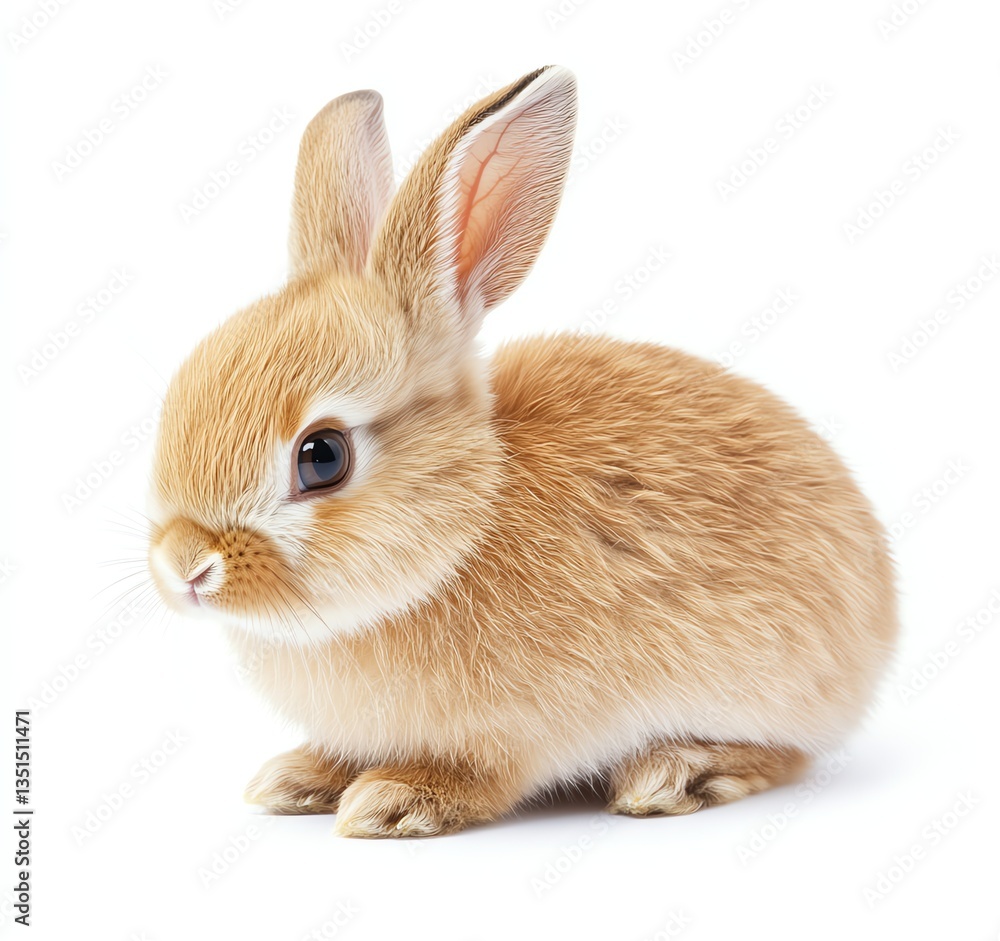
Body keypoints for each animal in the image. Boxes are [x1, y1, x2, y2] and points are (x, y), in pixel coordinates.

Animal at [147, 66, 897, 837]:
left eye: (322, 457)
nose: (184, 566)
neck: (463, 530)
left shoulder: (519, 735)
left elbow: (483, 777)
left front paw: (395, 801)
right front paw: (295, 779)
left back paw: (674, 772)